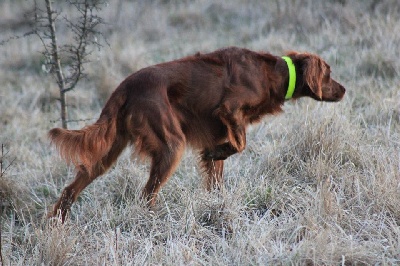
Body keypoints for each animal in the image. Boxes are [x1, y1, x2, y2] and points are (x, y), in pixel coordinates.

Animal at [48, 46, 346, 221]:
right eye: (329, 73)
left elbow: (217, 176)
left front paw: (216, 206)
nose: (344, 90)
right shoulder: (229, 109)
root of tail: (125, 86)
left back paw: (57, 221)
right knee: (147, 194)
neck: (271, 74)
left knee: (72, 187)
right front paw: (217, 153)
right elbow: (239, 145)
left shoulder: (221, 129)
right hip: (172, 145)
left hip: (107, 152)